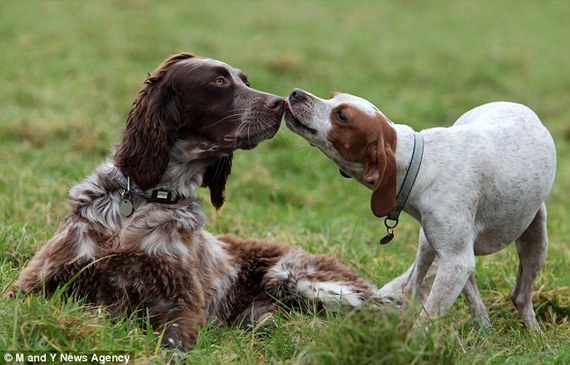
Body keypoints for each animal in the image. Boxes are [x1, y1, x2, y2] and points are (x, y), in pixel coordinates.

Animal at [8, 54, 380, 350]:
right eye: (219, 81)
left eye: (246, 81)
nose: (281, 102)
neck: (144, 200)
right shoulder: (35, 282)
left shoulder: (181, 303)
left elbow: (172, 343)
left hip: (293, 277)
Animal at [284, 87, 556, 328]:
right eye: (331, 96)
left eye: (341, 116)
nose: (296, 93)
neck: (421, 163)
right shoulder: (456, 258)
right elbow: (461, 302)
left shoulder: (456, 261)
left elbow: (428, 317)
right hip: (427, 242)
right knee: (416, 283)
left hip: (536, 239)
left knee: (521, 296)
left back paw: (534, 333)